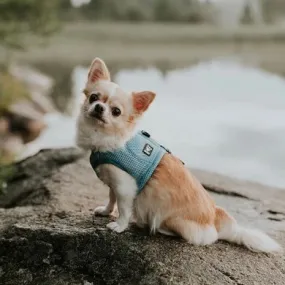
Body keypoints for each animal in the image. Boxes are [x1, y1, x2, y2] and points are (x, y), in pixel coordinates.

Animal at [74, 56, 280, 252]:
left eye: (116, 111)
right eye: (93, 97)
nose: (99, 107)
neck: (105, 137)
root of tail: (215, 220)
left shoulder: (125, 187)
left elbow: (124, 207)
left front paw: (119, 226)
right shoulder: (115, 181)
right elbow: (112, 197)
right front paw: (106, 211)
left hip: (173, 219)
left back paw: (155, 227)